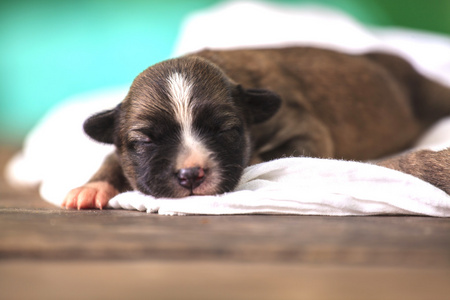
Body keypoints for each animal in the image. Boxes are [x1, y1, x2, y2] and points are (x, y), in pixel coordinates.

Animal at [60, 47, 450, 211]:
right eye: (144, 140)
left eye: (226, 130)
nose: (191, 174)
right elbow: (112, 157)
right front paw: (92, 188)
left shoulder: (305, 129)